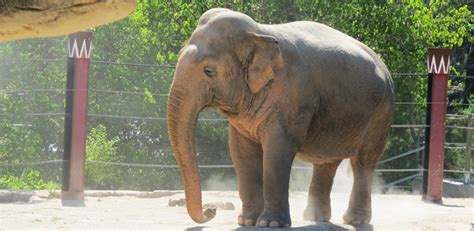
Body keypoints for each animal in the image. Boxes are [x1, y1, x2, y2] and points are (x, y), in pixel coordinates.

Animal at [168, 8, 396, 228]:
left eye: (208, 71)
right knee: (327, 162)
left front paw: (271, 223)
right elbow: (241, 151)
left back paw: (355, 220)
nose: (212, 209)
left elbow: (277, 150)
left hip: (381, 111)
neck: (260, 33)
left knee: (363, 161)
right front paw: (247, 221)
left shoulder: (293, 97)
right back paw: (315, 217)